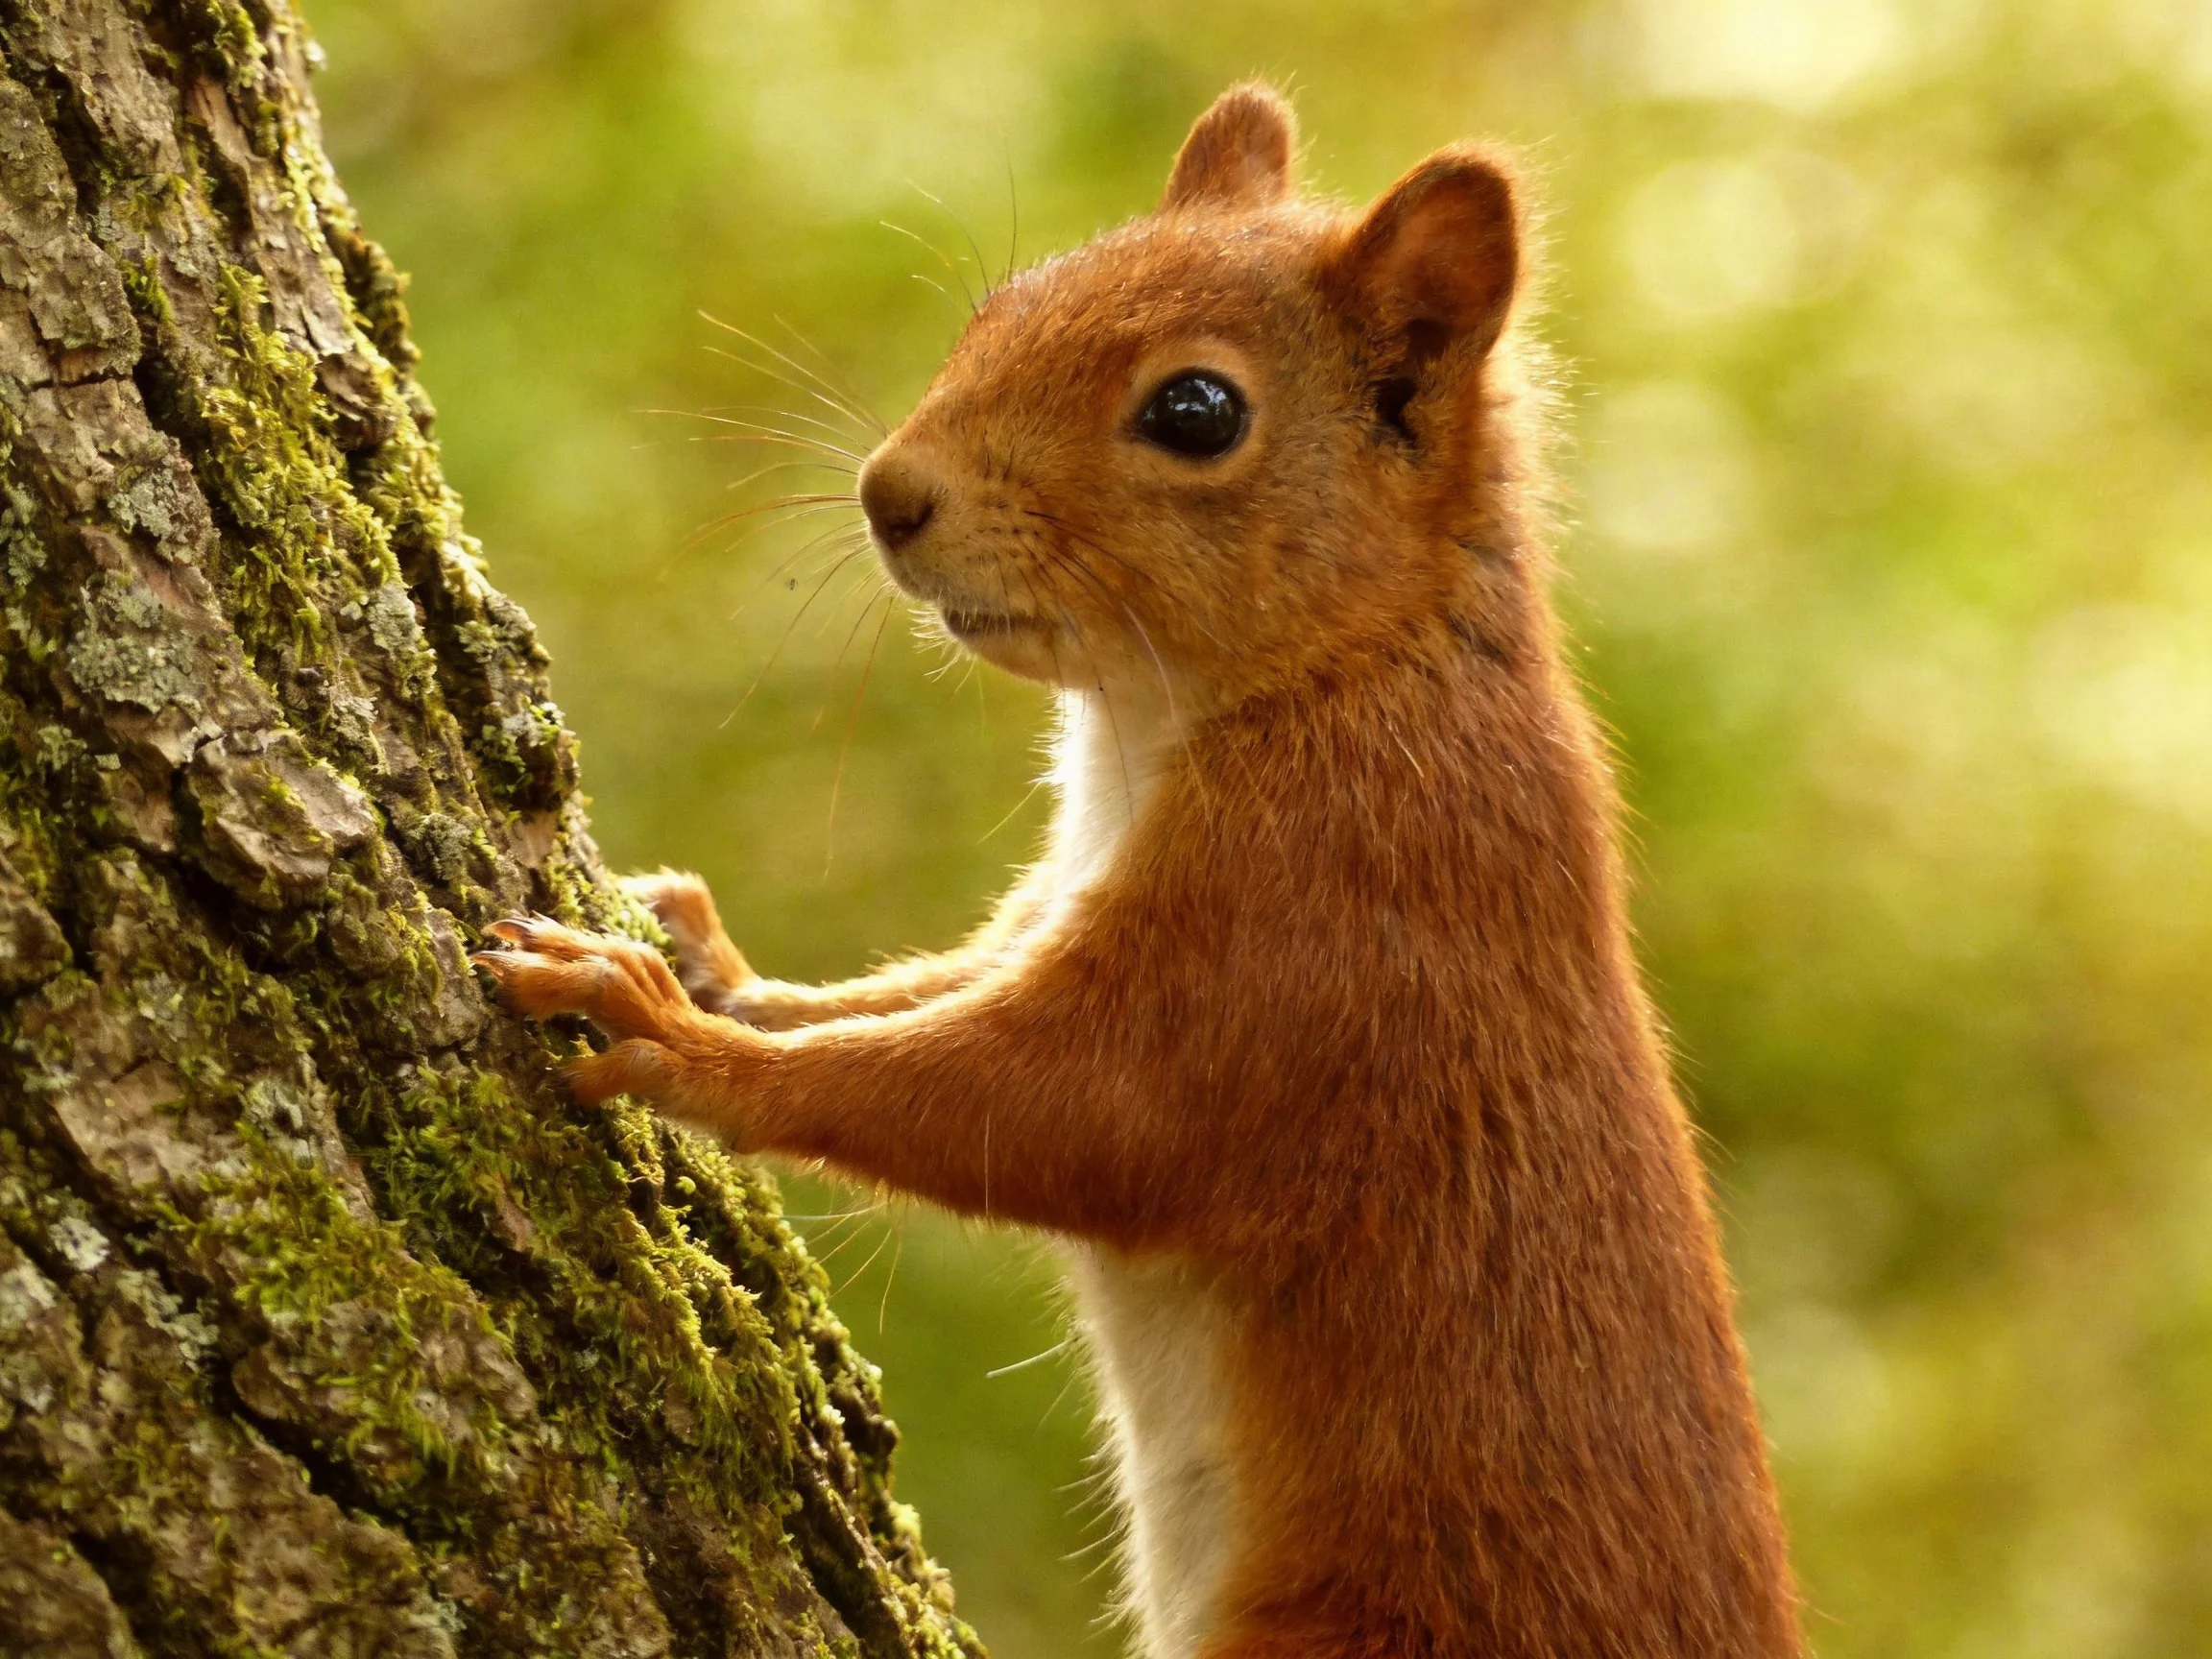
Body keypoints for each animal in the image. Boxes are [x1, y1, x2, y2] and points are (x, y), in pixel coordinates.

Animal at [476, 83, 1801, 1659]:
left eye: (1196, 411)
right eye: (1000, 304)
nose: (888, 494)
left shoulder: (1327, 917)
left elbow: (1046, 1104)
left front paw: (664, 1031)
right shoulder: (1051, 902)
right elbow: (909, 995)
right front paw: (716, 966)